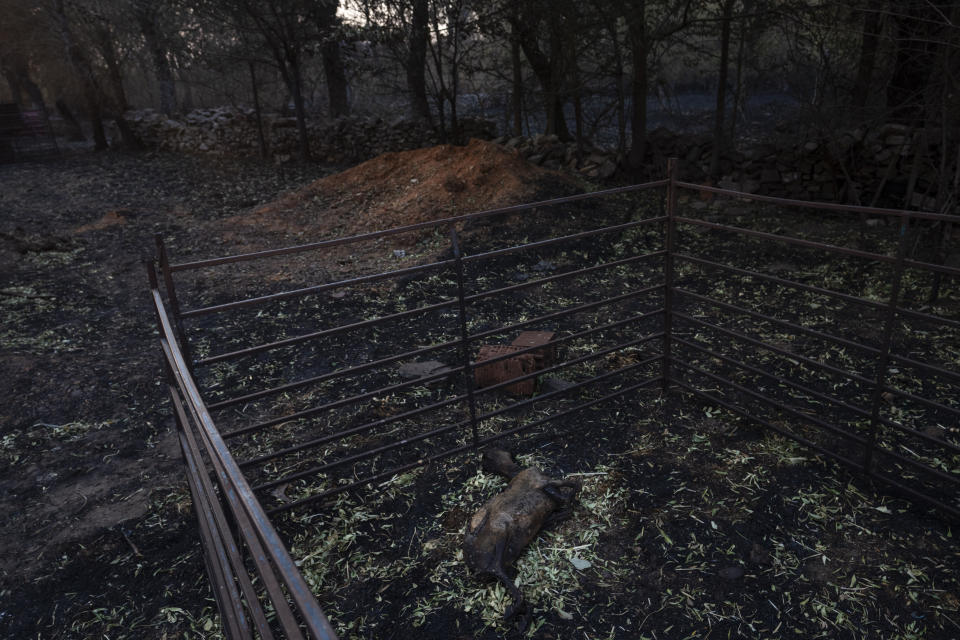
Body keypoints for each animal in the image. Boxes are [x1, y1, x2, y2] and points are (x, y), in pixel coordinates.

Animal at [464, 448, 576, 624]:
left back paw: (519, 615)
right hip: (501, 532)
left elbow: (568, 501)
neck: (515, 471)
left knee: (506, 579)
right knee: (500, 571)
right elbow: (571, 489)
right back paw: (515, 613)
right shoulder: (543, 482)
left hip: (503, 552)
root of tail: (477, 568)